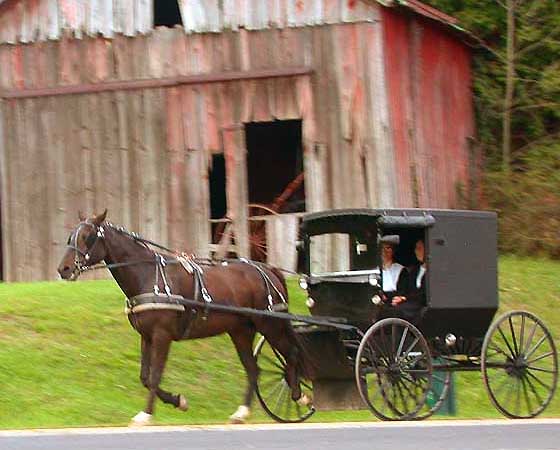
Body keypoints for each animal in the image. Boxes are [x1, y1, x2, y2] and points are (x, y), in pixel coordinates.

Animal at [58, 211, 310, 426]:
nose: (64, 269)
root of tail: (268, 270)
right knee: (253, 368)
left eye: (88, 237)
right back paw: (241, 413)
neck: (148, 275)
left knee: (292, 355)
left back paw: (299, 396)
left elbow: (155, 375)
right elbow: (145, 377)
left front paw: (146, 415)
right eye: (70, 236)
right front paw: (178, 401)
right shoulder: (146, 336)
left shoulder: (162, 335)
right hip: (240, 331)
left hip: (270, 325)